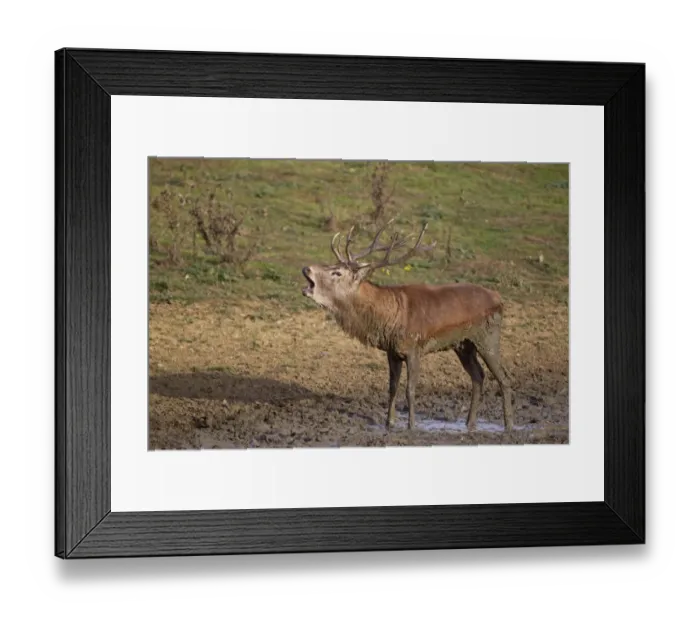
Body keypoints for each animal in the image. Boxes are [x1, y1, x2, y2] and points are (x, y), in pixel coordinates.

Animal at [301, 219, 515, 433]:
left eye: (336, 272)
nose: (306, 268)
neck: (389, 317)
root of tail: (499, 298)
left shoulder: (414, 348)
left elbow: (410, 390)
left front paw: (411, 426)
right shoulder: (392, 352)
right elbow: (392, 388)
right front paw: (389, 423)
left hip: (488, 336)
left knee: (503, 377)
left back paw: (509, 425)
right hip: (464, 344)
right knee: (478, 376)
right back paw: (470, 424)